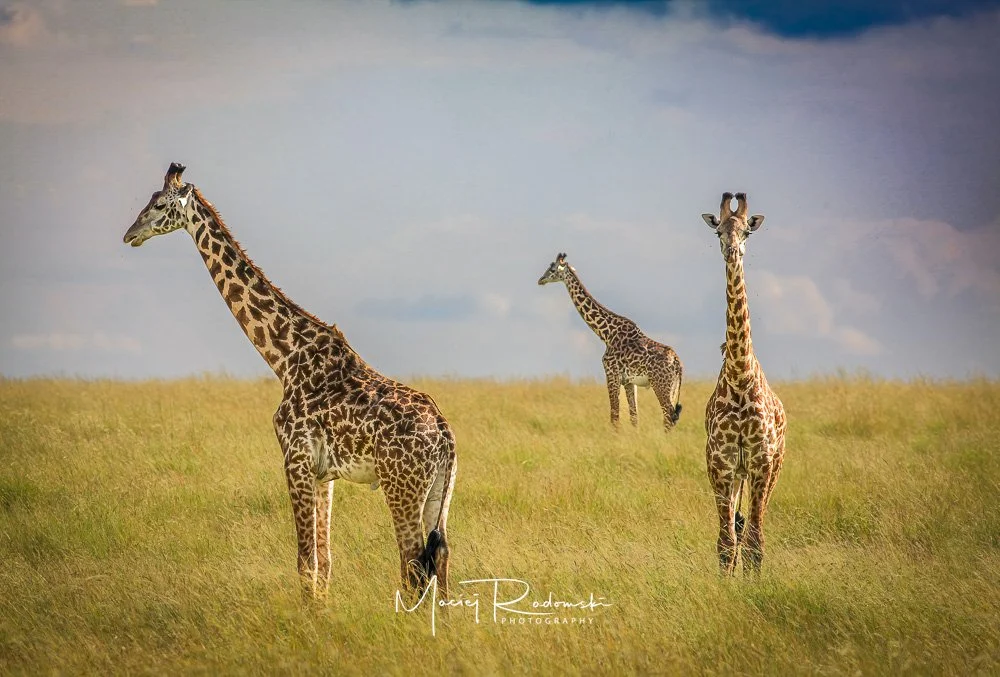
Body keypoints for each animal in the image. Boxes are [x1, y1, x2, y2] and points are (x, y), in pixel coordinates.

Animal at [123, 163, 457, 599]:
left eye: (161, 205)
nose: (130, 234)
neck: (285, 358)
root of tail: (445, 434)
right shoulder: (323, 474)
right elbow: (325, 562)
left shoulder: (294, 459)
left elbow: (305, 562)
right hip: (438, 491)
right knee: (442, 557)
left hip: (401, 486)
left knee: (413, 562)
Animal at [538, 253, 683, 433]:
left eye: (552, 269)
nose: (540, 280)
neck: (606, 334)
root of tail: (677, 362)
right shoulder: (629, 381)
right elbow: (634, 416)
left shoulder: (611, 374)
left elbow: (614, 416)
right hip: (673, 386)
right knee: (670, 417)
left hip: (661, 384)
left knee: (668, 415)